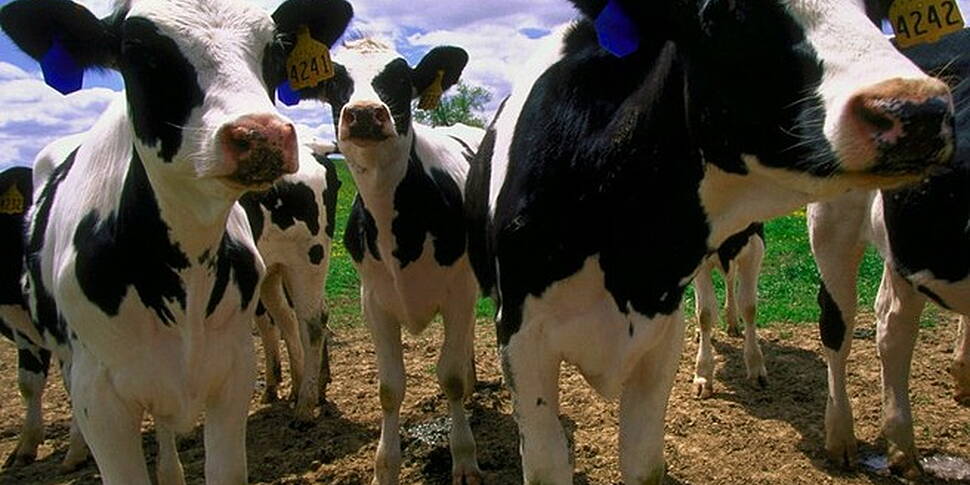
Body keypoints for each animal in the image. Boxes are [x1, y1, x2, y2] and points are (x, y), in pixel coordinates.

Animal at [242, 146, 340, 421]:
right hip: (274, 268)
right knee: (288, 318)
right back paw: (302, 390)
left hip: (307, 259)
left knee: (312, 322)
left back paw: (304, 407)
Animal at [295, 37, 486, 484]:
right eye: (335, 82)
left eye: (400, 79)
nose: (365, 112)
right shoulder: (374, 301)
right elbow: (389, 389)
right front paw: (385, 468)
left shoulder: (459, 292)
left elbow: (449, 376)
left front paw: (464, 458)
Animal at [692, 222, 766, 398]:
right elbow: (705, 313)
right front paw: (703, 375)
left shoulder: (755, 244)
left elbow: (749, 308)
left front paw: (756, 368)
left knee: (730, 278)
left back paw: (732, 322)